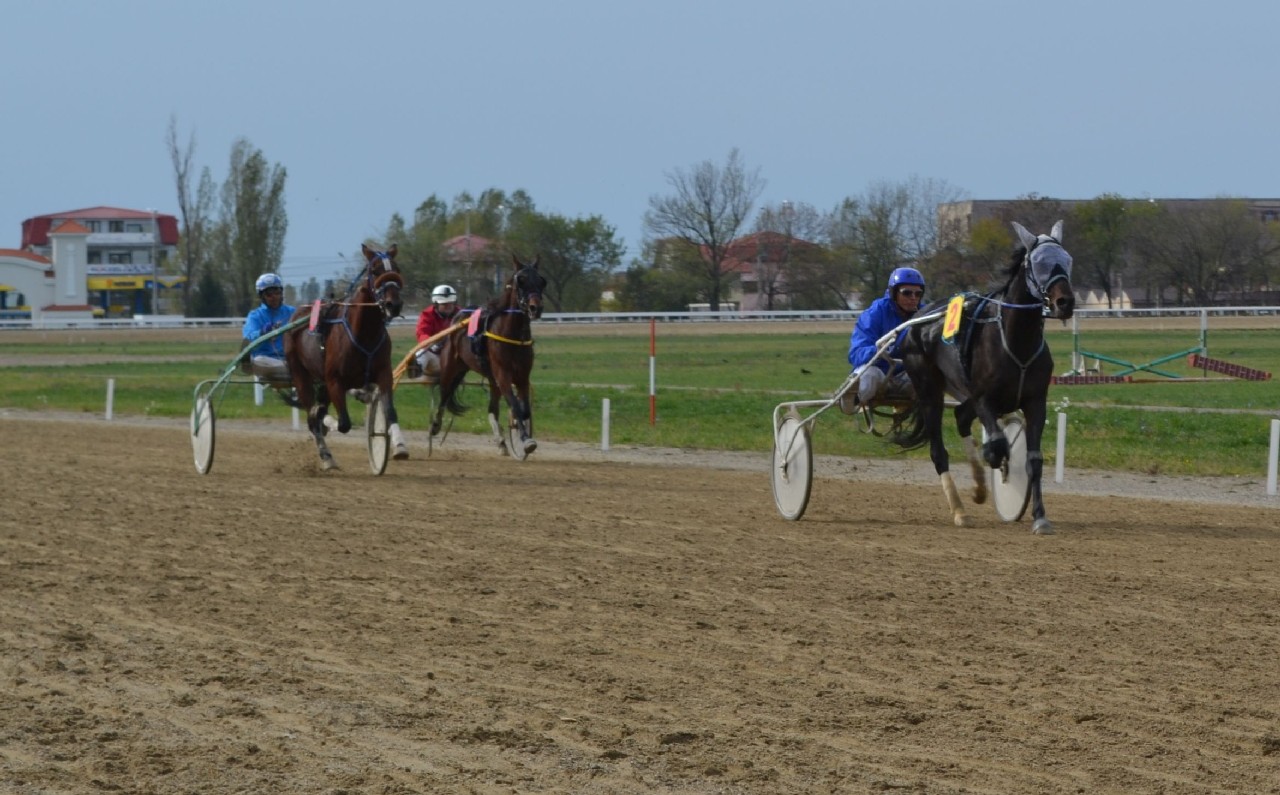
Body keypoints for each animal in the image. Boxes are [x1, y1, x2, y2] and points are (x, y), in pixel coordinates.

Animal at [283, 243, 408, 470]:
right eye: (375, 270)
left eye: (397, 269)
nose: (393, 304)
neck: (364, 334)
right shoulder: (334, 380)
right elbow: (342, 423)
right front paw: (323, 418)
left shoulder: (384, 374)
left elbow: (390, 411)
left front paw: (400, 446)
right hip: (300, 374)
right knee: (313, 416)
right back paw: (326, 455)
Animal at [429, 255, 545, 457]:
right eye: (521, 280)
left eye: (541, 281)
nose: (535, 308)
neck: (512, 334)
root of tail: (459, 315)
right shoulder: (503, 375)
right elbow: (515, 405)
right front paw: (526, 439)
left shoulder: (522, 377)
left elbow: (524, 410)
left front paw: (519, 431)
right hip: (451, 366)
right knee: (444, 392)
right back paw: (435, 425)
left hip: (490, 377)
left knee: (492, 409)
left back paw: (501, 442)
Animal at [893, 220, 1076, 534]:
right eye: (1038, 262)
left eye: (1067, 260)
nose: (1065, 301)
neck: (1016, 341)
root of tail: (918, 319)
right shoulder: (984, 398)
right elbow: (998, 445)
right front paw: (998, 462)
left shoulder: (1035, 401)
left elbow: (1034, 459)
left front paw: (1040, 517)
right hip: (929, 390)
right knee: (939, 451)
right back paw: (959, 511)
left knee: (961, 417)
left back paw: (979, 488)